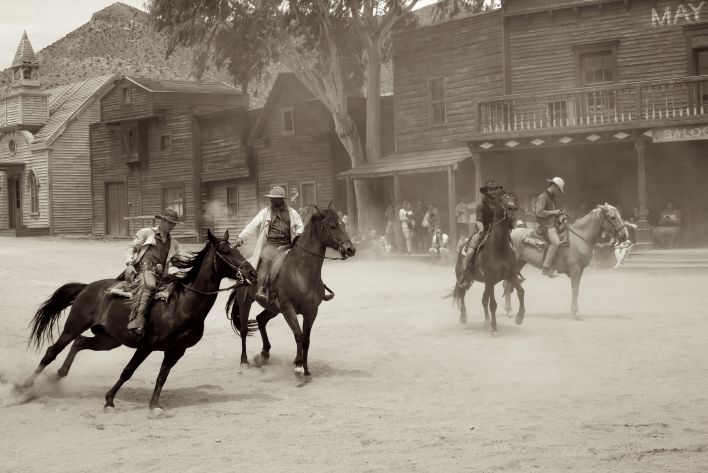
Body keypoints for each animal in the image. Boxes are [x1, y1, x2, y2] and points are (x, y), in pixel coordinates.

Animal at [22, 230, 258, 414]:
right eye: (225, 251)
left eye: (237, 249)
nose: (252, 273)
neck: (181, 304)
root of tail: (87, 287)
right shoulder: (146, 345)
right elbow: (128, 371)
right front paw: (109, 400)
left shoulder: (176, 350)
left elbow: (162, 376)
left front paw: (154, 406)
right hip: (74, 325)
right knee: (52, 351)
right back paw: (24, 386)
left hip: (108, 339)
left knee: (80, 342)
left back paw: (57, 376)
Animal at [230, 206, 356, 376]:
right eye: (332, 226)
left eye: (342, 224)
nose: (350, 249)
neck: (301, 272)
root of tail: (244, 264)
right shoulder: (288, 309)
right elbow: (298, 334)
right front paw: (298, 364)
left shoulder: (311, 311)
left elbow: (306, 339)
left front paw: (306, 368)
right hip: (246, 303)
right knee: (243, 330)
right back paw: (244, 361)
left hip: (273, 309)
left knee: (261, 320)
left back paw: (264, 353)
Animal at [450, 191, 524, 332]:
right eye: (502, 200)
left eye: (514, 199)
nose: (512, 208)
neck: (499, 247)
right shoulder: (490, 279)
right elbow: (493, 304)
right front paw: (494, 328)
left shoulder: (510, 276)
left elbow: (521, 291)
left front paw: (519, 317)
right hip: (463, 277)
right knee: (461, 293)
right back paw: (463, 316)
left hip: (486, 283)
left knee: (483, 299)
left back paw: (486, 321)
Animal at [504, 204, 632, 318]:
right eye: (612, 217)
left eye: (620, 215)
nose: (625, 235)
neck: (580, 238)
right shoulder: (575, 269)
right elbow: (575, 289)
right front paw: (575, 311)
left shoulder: (580, 270)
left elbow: (576, 289)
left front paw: (575, 310)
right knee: (508, 284)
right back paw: (508, 311)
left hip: (520, 263)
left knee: (508, 283)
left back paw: (508, 310)